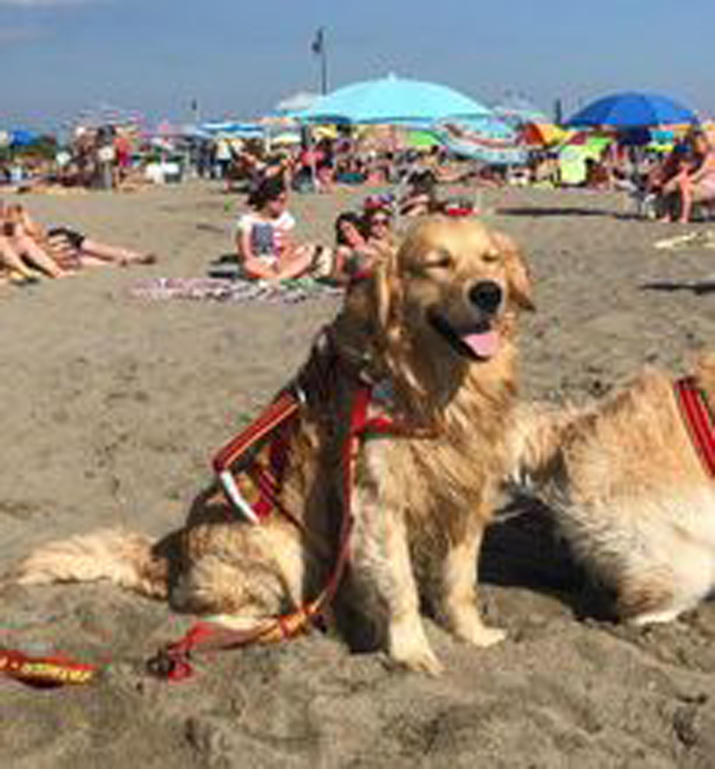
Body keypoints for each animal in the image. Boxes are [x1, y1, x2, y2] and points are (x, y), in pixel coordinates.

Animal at [14, 216, 536, 672]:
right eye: (438, 263)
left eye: (489, 259)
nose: (489, 292)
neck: (434, 386)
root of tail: (171, 550)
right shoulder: (376, 504)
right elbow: (400, 586)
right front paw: (412, 653)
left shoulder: (467, 497)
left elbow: (459, 582)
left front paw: (473, 634)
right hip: (284, 546)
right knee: (212, 613)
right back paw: (291, 624)